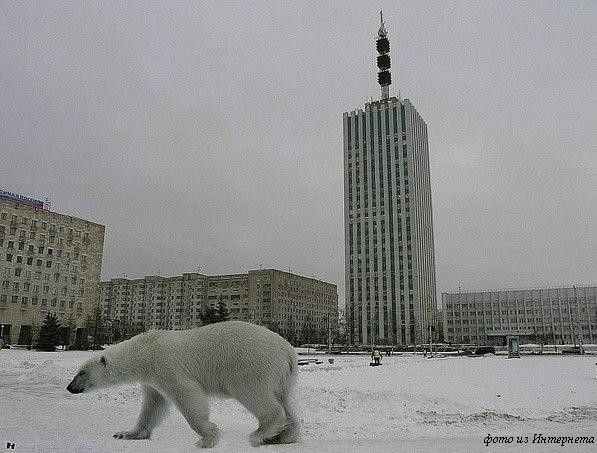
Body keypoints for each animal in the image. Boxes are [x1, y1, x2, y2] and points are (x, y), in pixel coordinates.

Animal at [66, 320, 298, 446]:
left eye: (82, 372)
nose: (70, 387)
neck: (145, 351)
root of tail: (287, 350)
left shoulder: (166, 366)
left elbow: (187, 394)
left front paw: (207, 437)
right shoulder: (152, 380)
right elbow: (153, 405)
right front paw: (126, 433)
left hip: (250, 364)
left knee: (254, 393)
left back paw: (261, 434)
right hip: (281, 376)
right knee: (284, 399)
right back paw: (284, 436)